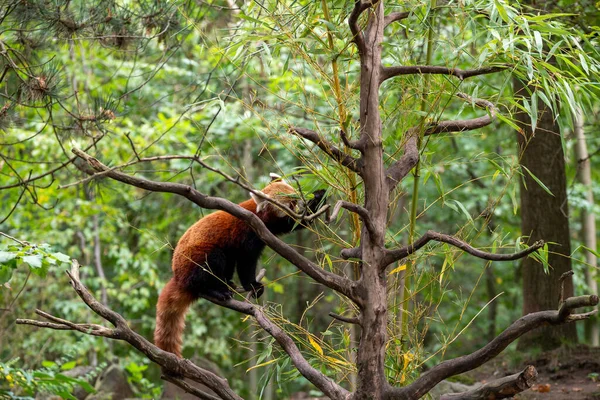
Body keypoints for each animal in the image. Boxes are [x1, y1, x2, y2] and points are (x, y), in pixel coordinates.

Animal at [152, 177, 326, 358]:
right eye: (291, 202)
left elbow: (295, 223)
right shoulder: (248, 232)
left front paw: (319, 196)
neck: (257, 214)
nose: (301, 204)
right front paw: (253, 285)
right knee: (211, 264)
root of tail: (177, 277)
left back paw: (228, 283)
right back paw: (216, 290)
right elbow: (246, 262)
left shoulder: (270, 227)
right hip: (197, 258)